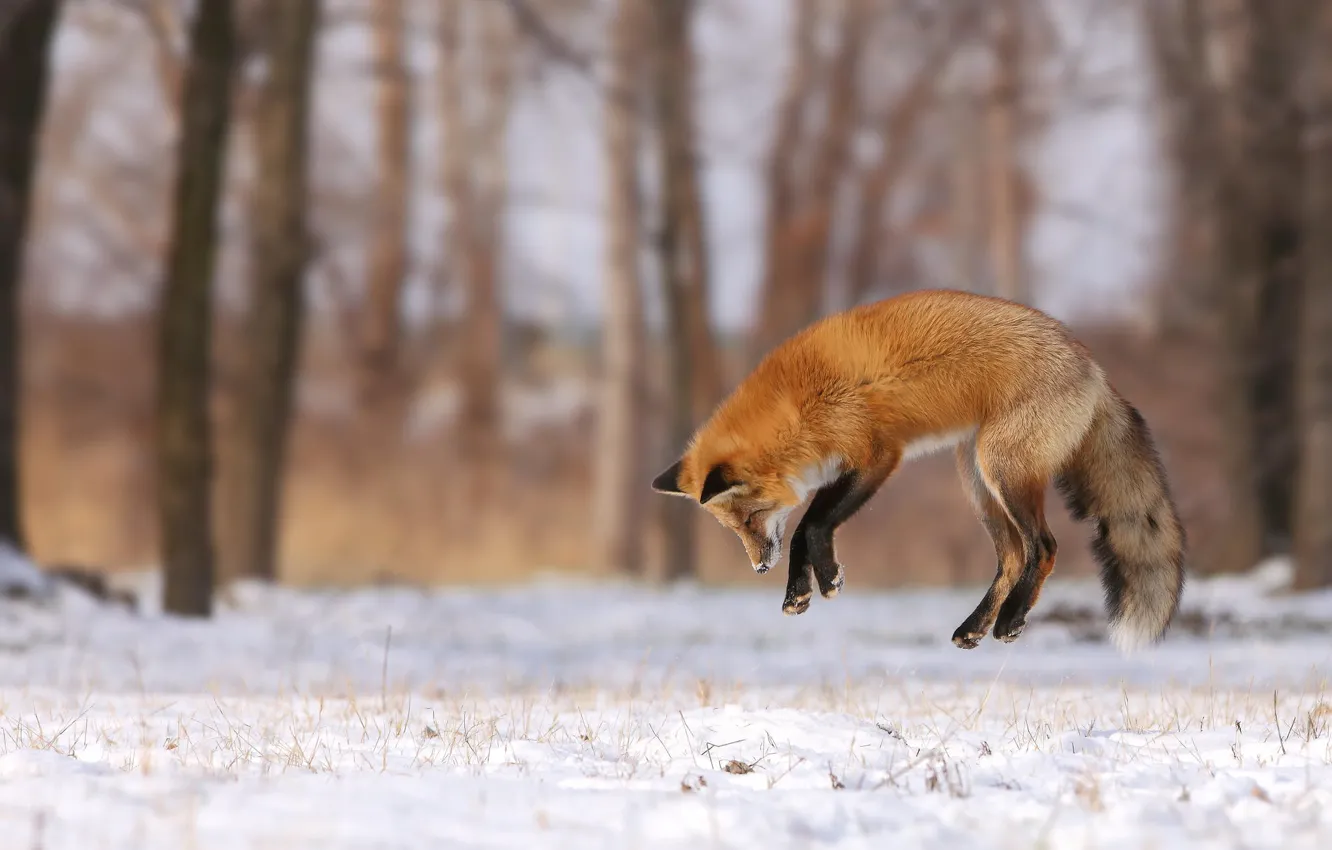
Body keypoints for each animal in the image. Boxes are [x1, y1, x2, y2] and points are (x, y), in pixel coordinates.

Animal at [651, 289, 1186, 652]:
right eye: (733, 528)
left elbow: (810, 524)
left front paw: (824, 579)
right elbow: (805, 528)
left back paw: (1010, 620)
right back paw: (975, 627)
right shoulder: (849, 465)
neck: (796, 405)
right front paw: (800, 591)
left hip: (1002, 469)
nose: (758, 567)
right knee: (1013, 557)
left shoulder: (876, 455)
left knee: (1044, 547)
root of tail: (1093, 366)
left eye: (748, 518)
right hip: (977, 481)